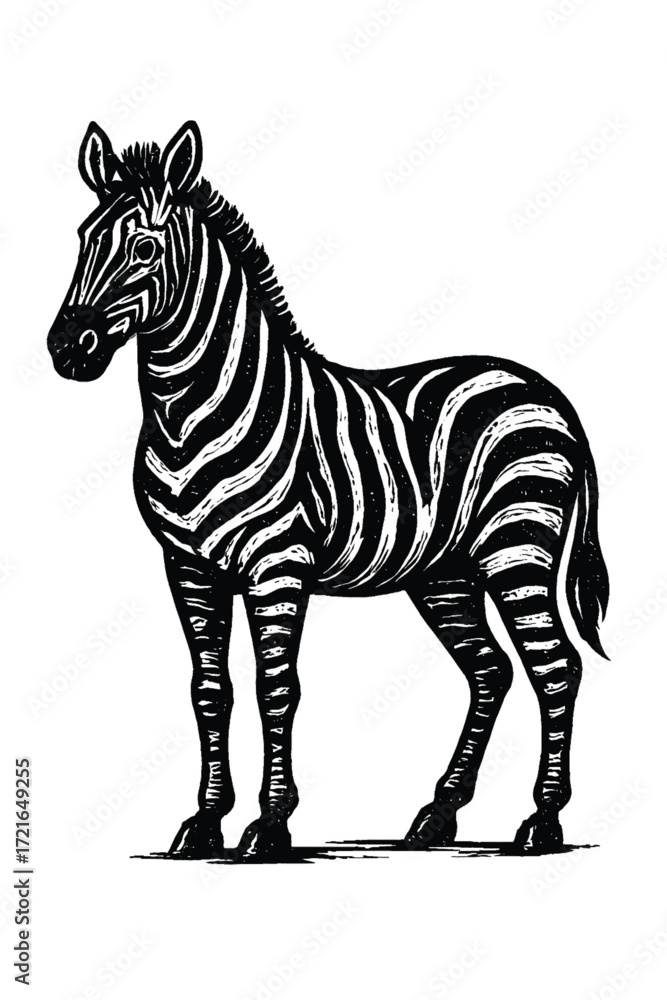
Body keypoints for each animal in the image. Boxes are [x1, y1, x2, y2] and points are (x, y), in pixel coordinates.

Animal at [47, 121, 609, 859]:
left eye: (144, 247)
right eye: (83, 238)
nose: (66, 349)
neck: (192, 415)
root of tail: (546, 391)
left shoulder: (276, 563)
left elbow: (275, 688)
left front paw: (269, 824)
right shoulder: (188, 567)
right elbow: (210, 690)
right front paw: (204, 822)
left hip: (516, 548)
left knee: (555, 667)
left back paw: (541, 821)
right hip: (446, 572)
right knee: (490, 669)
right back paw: (437, 814)